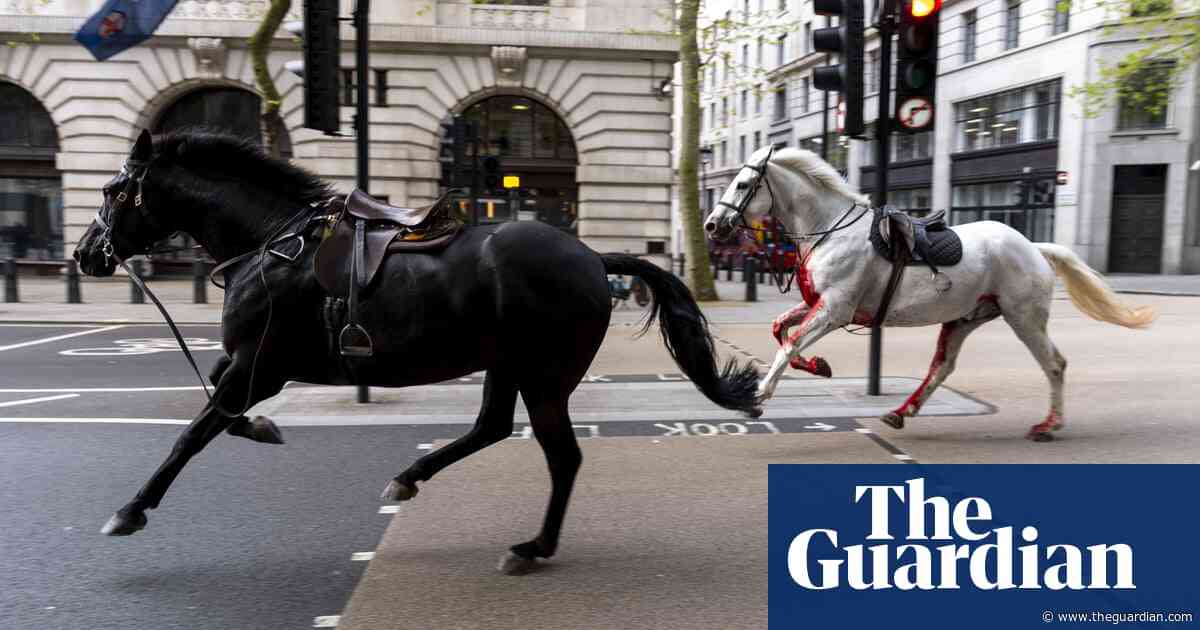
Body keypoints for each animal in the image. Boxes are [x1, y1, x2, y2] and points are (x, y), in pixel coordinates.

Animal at [72, 130, 758, 571]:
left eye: (112, 191)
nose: (83, 255)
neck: (272, 243)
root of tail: (592, 257)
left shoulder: (260, 366)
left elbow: (195, 431)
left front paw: (131, 510)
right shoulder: (248, 365)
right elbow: (220, 407)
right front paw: (265, 428)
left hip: (544, 375)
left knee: (561, 456)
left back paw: (532, 547)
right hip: (507, 364)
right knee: (491, 428)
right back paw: (411, 478)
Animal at [700, 147, 1152, 439]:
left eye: (743, 184)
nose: (711, 225)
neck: (829, 229)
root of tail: (1034, 247)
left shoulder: (835, 309)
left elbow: (789, 343)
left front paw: (758, 395)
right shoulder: (819, 304)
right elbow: (781, 330)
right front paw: (819, 366)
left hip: (1023, 317)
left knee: (1054, 364)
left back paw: (1048, 425)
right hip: (964, 319)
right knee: (942, 368)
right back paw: (903, 412)